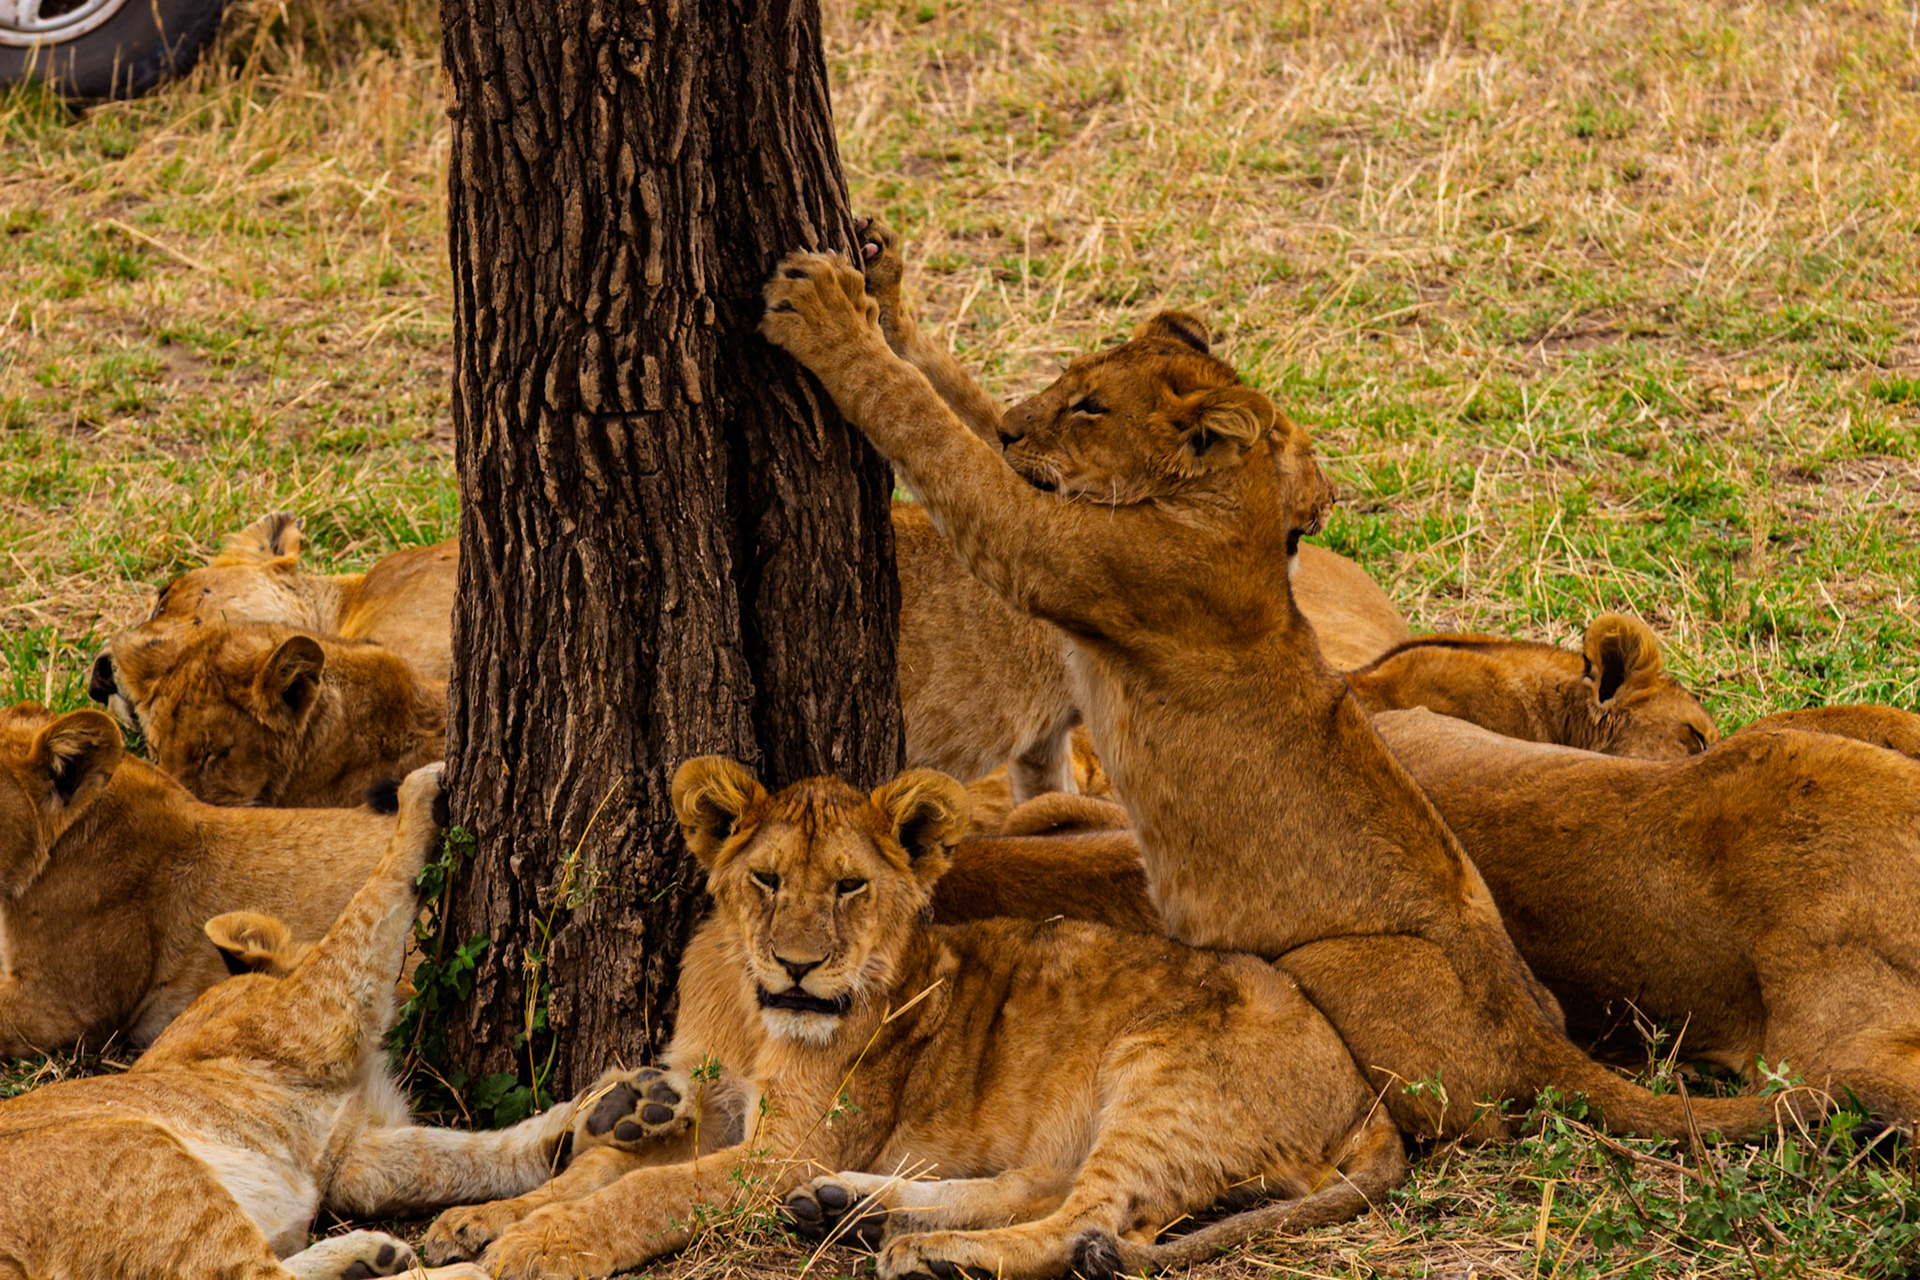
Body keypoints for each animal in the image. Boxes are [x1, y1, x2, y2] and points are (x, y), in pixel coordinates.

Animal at [0, 764, 615, 1280]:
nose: (415, 982)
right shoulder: (319, 1009)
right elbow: (371, 903)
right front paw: (419, 796)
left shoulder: (348, 1156)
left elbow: (460, 1156)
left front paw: (596, 1116)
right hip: (146, 1156)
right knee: (251, 1276)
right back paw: (448, 1270)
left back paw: (368, 1255)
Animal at [416, 758, 1404, 1280]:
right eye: (766, 879)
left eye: (850, 887)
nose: (798, 966)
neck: (751, 1012)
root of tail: (1366, 1089)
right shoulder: (718, 1111)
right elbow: (603, 1164)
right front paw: (483, 1220)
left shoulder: (785, 1149)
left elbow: (640, 1193)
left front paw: (540, 1245)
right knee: (1049, 1189)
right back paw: (858, 1214)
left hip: (1160, 1077)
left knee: (1095, 1222)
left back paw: (932, 1252)